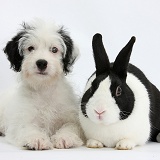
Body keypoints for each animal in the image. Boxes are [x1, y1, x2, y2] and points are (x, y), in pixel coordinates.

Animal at [0, 19, 84, 150]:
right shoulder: (21, 120)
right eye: (30, 48)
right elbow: (28, 128)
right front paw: (36, 139)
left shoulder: (71, 117)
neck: (44, 88)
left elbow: (71, 126)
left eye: (54, 49)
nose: (41, 63)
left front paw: (65, 137)